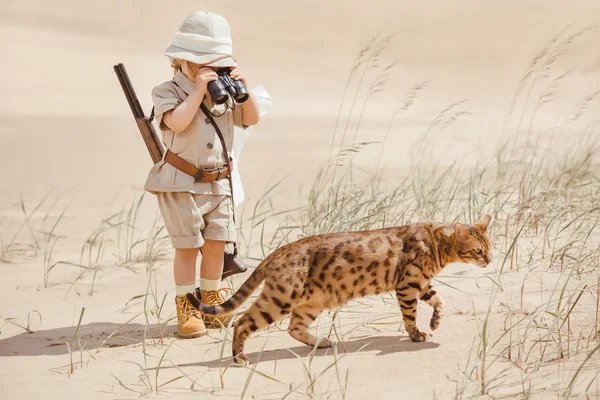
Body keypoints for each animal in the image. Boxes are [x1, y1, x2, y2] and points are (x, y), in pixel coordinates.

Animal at [188, 214, 492, 364]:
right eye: (478, 251)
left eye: (490, 248)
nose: (489, 261)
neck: (436, 242)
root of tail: (279, 251)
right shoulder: (407, 285)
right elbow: (410, 316)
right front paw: (417, 335)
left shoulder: (422, 282)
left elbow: (439, 301)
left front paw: (435, 322)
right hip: (280, 298)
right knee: (242, 322)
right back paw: (239, 357)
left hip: (311, 303)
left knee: (293, 328)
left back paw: (321, 343)